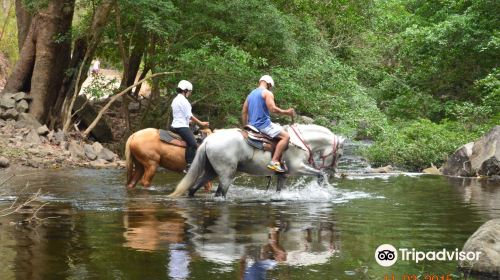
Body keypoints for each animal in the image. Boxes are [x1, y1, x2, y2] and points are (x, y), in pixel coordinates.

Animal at [168, 124, 344, 197]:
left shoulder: (283, 176)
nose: (333, 172)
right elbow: (319, 174)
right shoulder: (297, 167)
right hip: (226, 175)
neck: (300, 141)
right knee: (220, 194)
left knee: (193, 189)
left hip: (210, 172)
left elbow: (279, 192)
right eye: (340, 155)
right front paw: (321, 188)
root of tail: (207, 141)